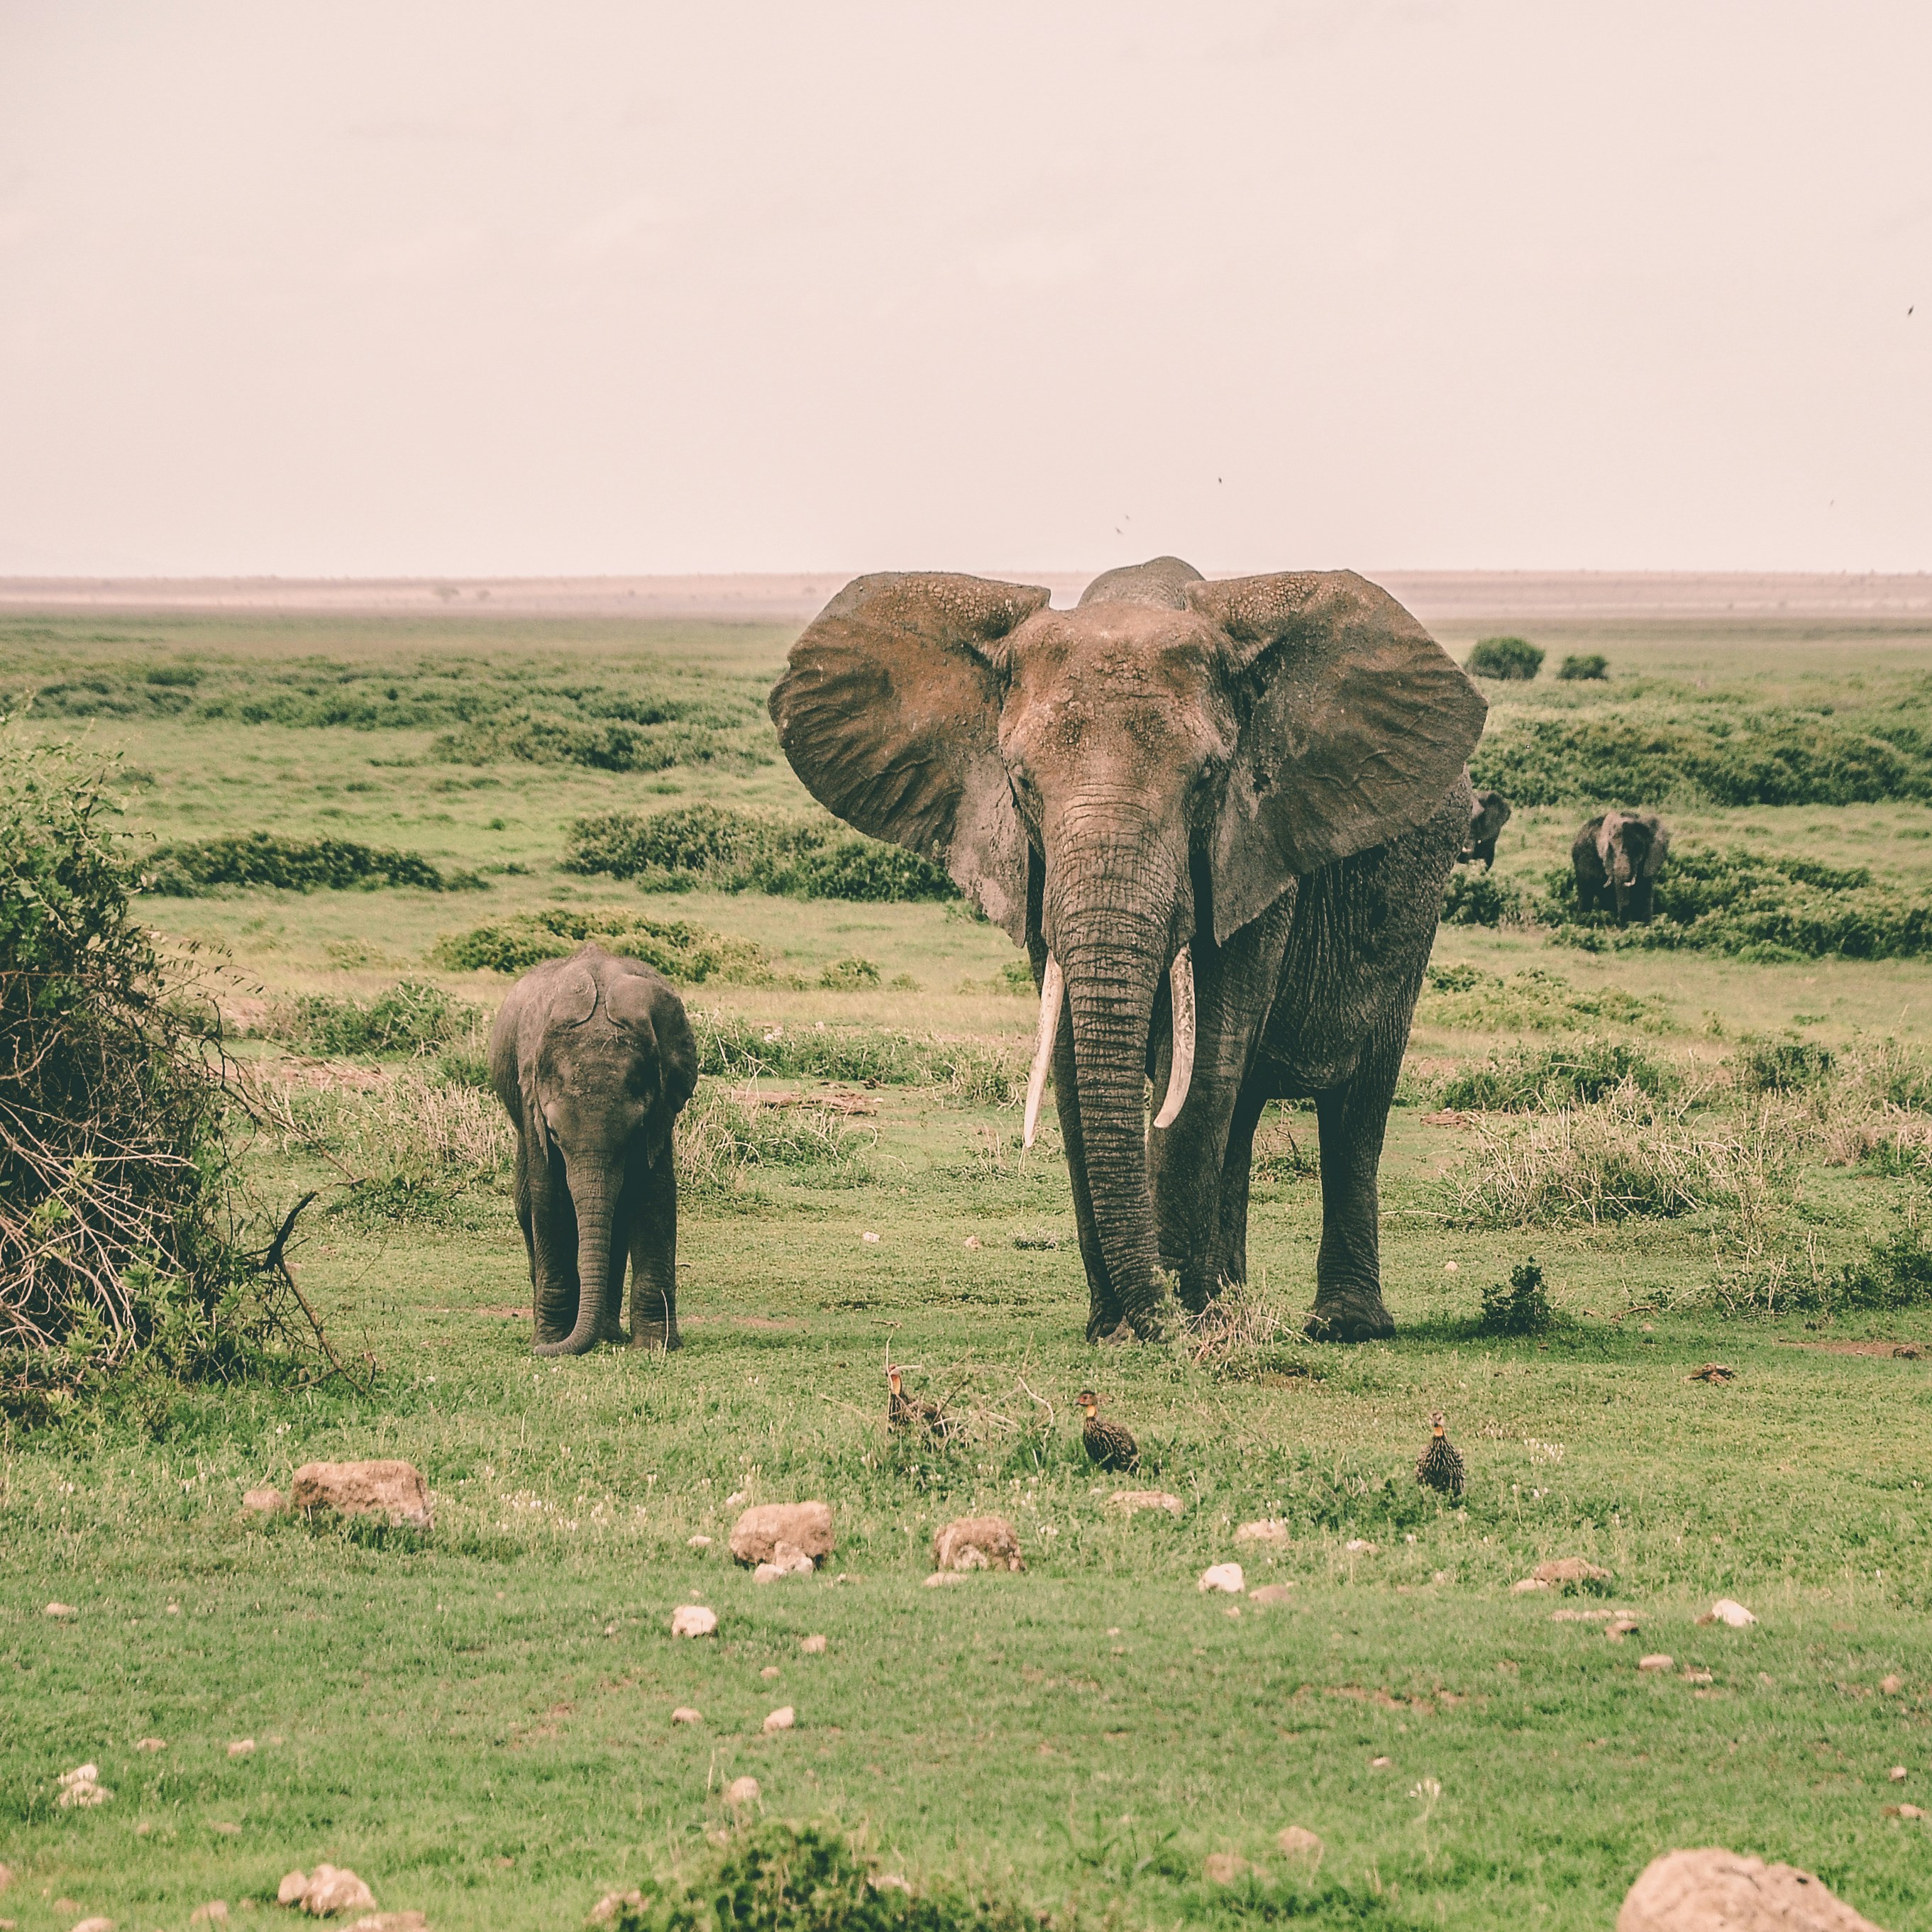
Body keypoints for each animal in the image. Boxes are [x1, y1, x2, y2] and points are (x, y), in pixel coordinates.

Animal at [487, 942, 699, 1352]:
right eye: (554, 1134)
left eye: (635, 1132)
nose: (540, 1352)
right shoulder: (532, 1097)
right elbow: (549, 1198)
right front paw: (550, 1340)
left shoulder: (661, 1105)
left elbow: (655, 1197)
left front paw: (655, 1347)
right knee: (527, 1206)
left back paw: (608, 1335)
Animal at [765, 560, 1476, 1345]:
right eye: (1021, 781)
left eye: (1206, 779)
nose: (1149, 1318)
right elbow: (1076, 1064)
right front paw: (1120, 1328)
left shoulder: (1252, 853)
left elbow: (1202, 1070)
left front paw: (1176, 1329)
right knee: (1245, 1109)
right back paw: (1228, 1302)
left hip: (1415, 907)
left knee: (1353, 1103)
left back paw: (1335, 1325)